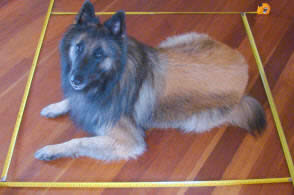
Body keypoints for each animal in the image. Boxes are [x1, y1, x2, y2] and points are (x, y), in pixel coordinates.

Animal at [33, 0, 266, 161]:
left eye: (99, 54)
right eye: (79, 47)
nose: (75, 80)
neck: (111, 78)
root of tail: (244, 68)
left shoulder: (127, 141)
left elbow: (79, 141)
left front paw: (52, 150)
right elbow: (72, 101)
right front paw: (55, 107)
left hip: (193, 121)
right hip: (170, 44)